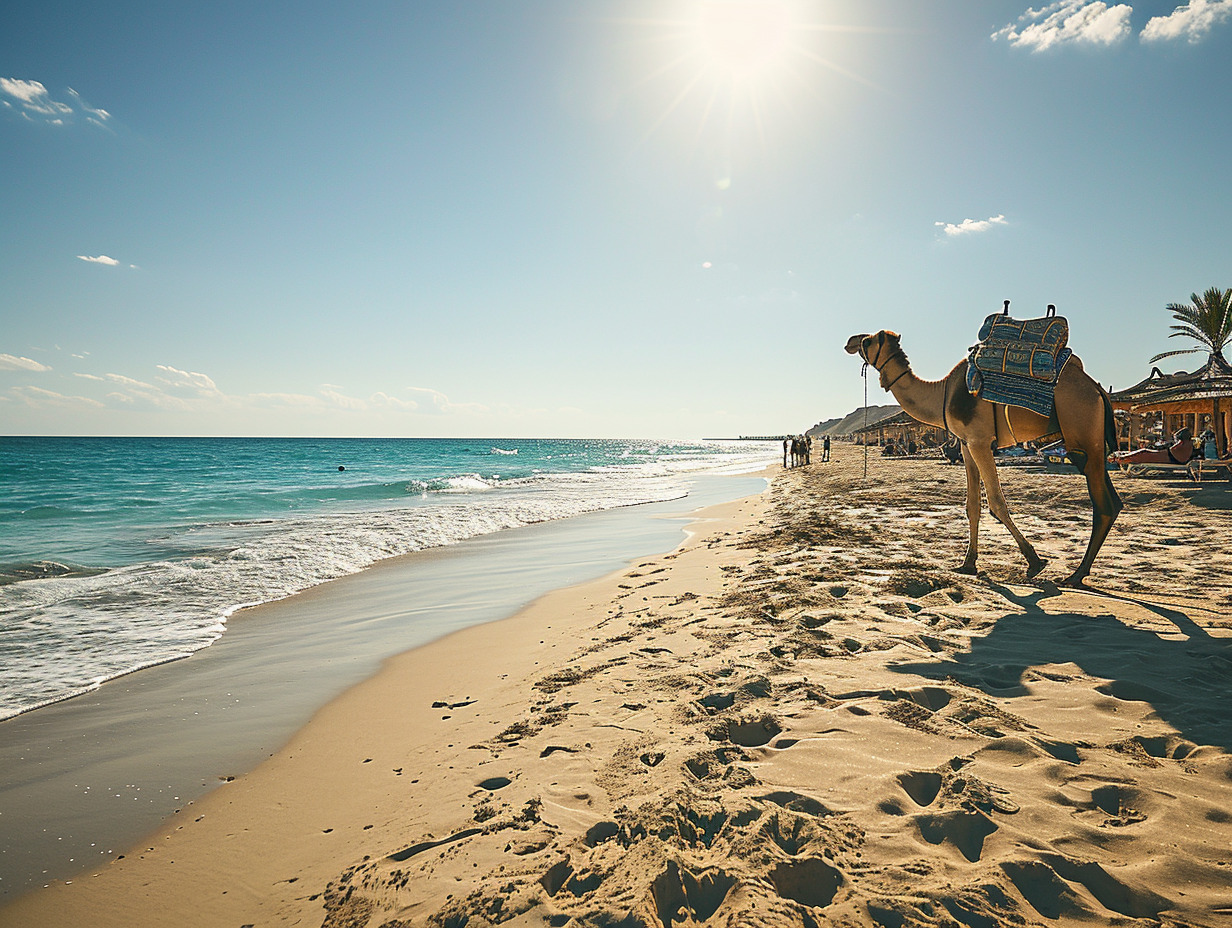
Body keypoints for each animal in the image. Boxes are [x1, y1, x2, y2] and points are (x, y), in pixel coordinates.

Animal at [842, 327, 1123, 586]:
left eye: (869, 340)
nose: (850, 341)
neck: (942, 395)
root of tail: (1098, 390)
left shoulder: (980, 442)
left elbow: (997, 503)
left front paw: (1034, 562)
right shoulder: (967, 445)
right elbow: (973, 506)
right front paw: (968, 563)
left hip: (1083, 434)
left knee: (1104, 504)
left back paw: (1076, 575)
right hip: (1090, 443)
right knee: (1113, 502)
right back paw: (1079, 573)